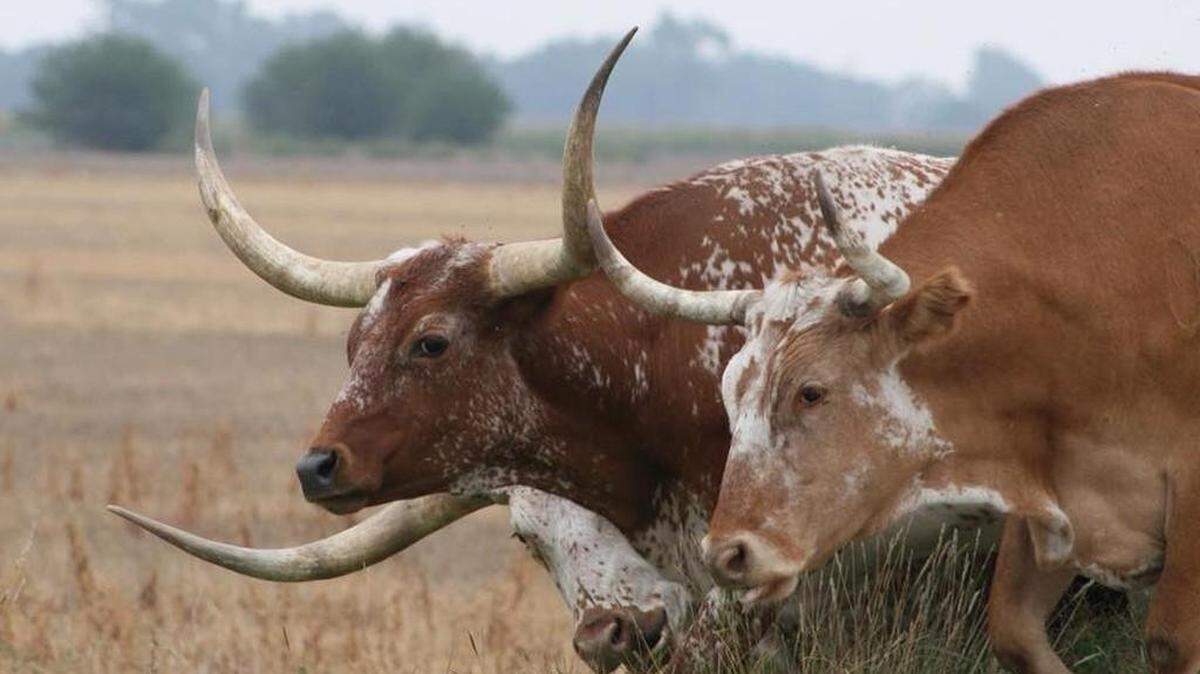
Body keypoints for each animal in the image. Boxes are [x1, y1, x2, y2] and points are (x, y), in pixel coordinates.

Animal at [584, 72, 1200, 673]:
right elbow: (1014, 635)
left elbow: (1168, 642)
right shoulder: (1051, 504)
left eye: (811, 392)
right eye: (731, 397)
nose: (727, 555)